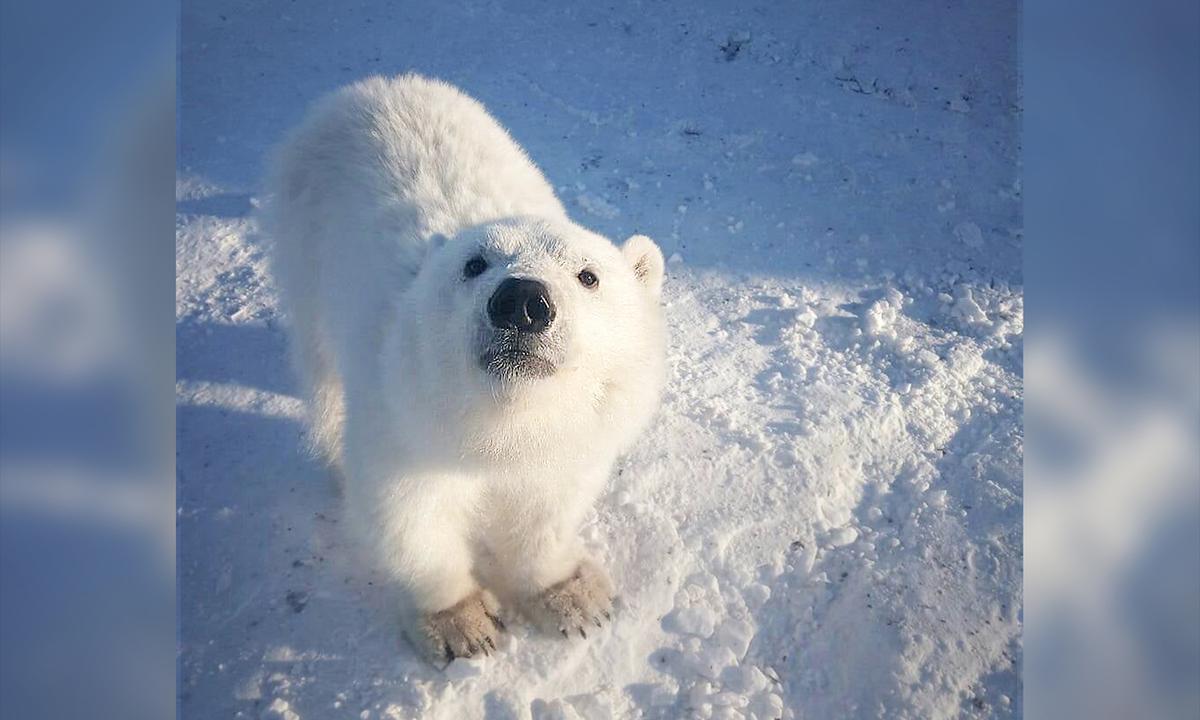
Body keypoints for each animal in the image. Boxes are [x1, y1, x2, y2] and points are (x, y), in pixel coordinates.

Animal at [262, 74, 666, 663]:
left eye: (588, 275)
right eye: (474, 264)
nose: (522, 302)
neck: (497, 424)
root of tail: (368, 87)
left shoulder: (568, 440)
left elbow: (546, 510)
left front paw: (574, 596)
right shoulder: (403, 423)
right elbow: (410, 519)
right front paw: (461, 624)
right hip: (305, 246)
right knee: (322, 369)